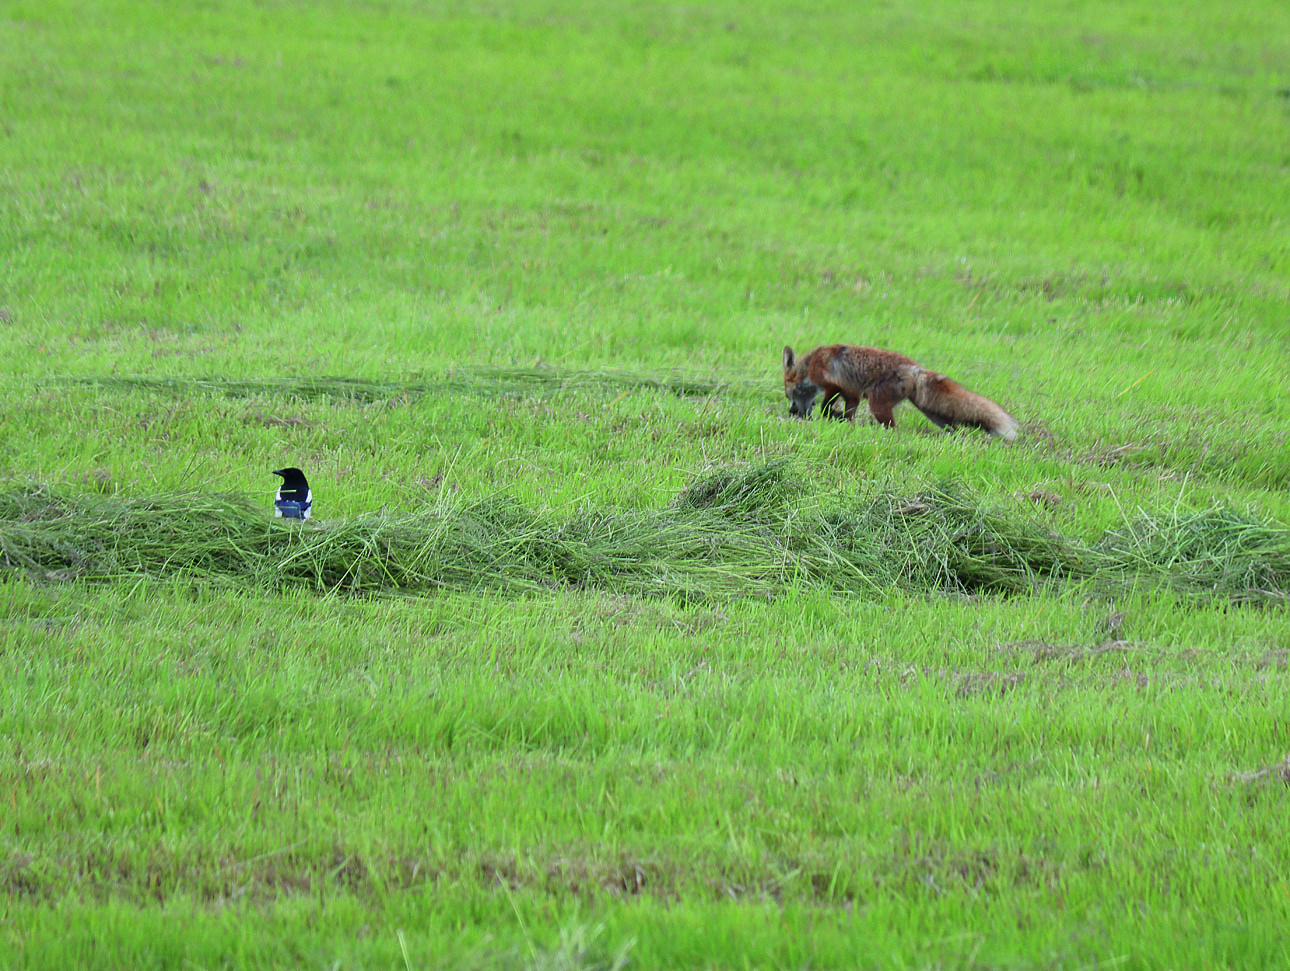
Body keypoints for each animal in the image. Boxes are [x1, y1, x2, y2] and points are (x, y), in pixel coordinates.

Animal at [774, 343, 1016, 441]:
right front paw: (842, 421)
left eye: (788, 394)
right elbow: (848, 413)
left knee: (893, 428)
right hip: (933, 413)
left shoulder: (832, 384)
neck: (811, 365)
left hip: (877, 405)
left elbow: (825, 406)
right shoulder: (851, 393)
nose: (792, 412)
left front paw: (831, 416)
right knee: (955, 429)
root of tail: (915, 367)